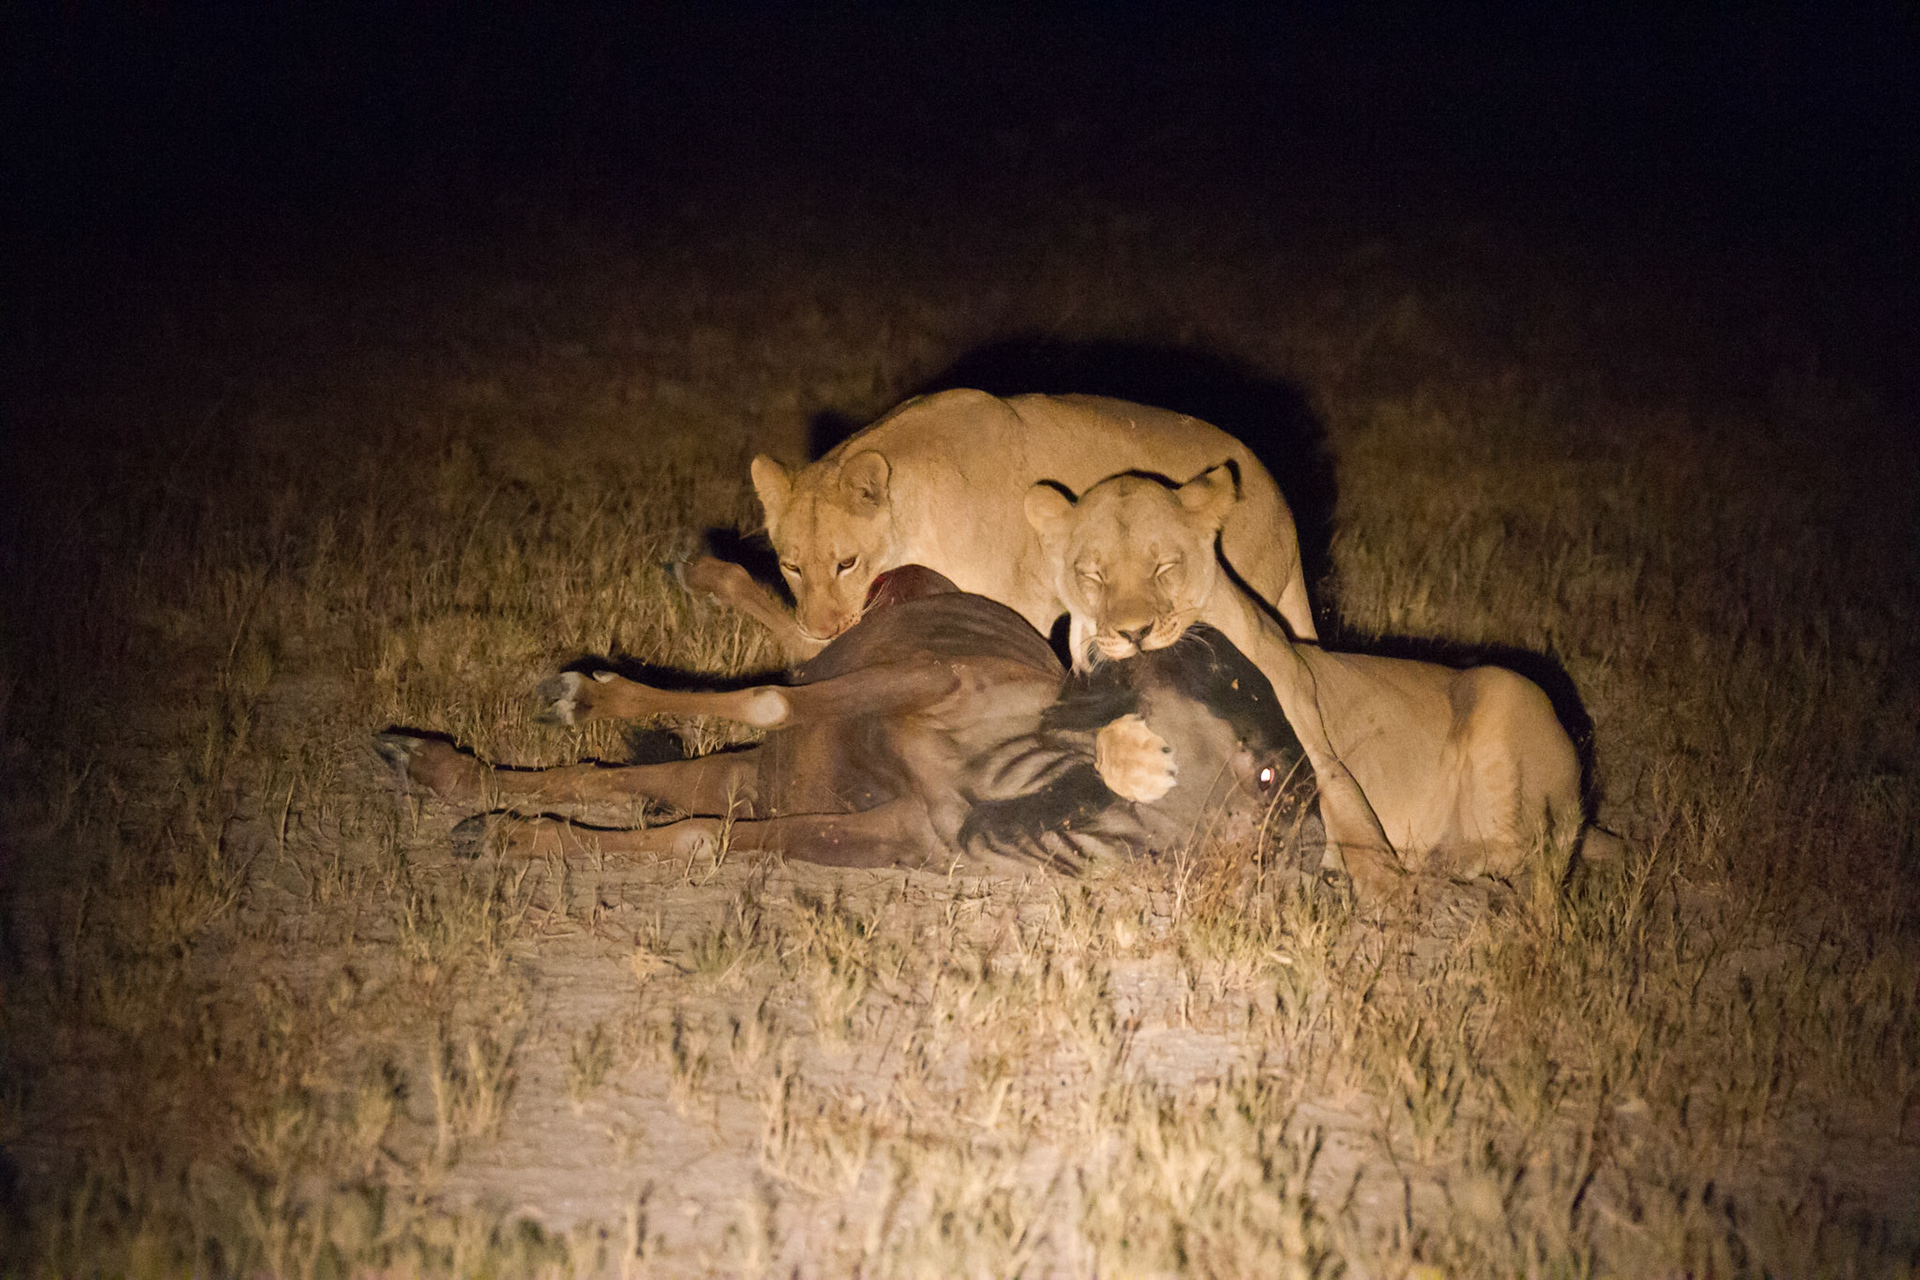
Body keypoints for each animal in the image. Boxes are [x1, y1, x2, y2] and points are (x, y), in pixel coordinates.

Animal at [1025, 467, 1607, 899]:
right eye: (1091, 574)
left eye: (1165, 566)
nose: (1134, 633)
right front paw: (1138, 761)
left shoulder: (1311, 743)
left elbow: (1347, 808)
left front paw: (1384, 893)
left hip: (1506, 689)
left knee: (1529, 854)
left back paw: (1448, 861)